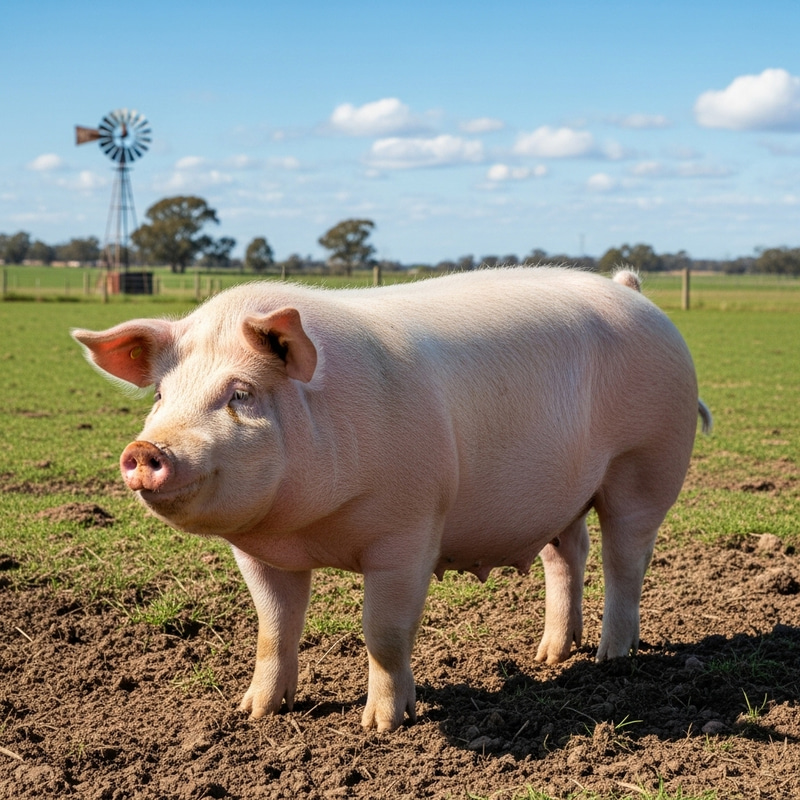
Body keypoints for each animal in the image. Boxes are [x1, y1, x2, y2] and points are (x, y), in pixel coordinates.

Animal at [72, 266, 711, 732]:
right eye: (162, 393)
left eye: (241, 393)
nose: (145, 450)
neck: (308, 530)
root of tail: (632, 291)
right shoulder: (258, 553)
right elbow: (273, 628)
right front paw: (254, 713)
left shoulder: (409, 528)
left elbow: (383, 630)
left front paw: (382, 726)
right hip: (562, 494)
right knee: (568, 554)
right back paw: (549, 656)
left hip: (646, 462)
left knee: (626, 559)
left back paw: (611, 658)